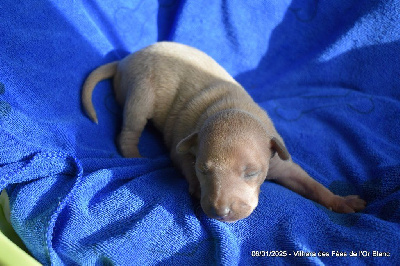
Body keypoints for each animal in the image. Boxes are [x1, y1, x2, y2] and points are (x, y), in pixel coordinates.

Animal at [83, 41, 368, 221]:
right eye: (203, 170)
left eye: (251, 173)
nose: (221, 212)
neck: (231, 106)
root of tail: (124, 60)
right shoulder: (183, 146)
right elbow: (181, 160)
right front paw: (196, 188)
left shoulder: (278, 159)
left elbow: (310, 184)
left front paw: (342, 201)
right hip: (141, 91)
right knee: (129, 130)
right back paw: (134, 155)